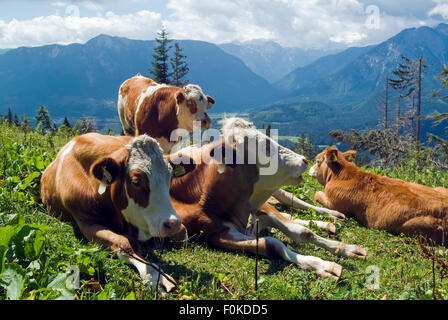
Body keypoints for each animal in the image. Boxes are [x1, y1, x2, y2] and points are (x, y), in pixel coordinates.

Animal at [39, 133, 184, 292]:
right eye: (136, 181)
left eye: (170, 177)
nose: (173, 223)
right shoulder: (86, 223)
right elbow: (124, 243)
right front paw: (156, 276)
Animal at [169, 118, 368, 280]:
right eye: (265, 146)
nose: (304, 160)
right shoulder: (216, 235)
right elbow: (272, 245)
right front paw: (321, 265)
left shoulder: (261, 208)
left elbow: (302, 232)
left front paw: (347, 249)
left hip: (276, 194)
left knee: (293, 202)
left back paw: (331, 216)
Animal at [310, 145, 448, 245]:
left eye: (317, 161)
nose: (309, 169)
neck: (342, 175)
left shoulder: (335, 204)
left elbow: (316, 194)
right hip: (441, 188)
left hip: (412, 227)